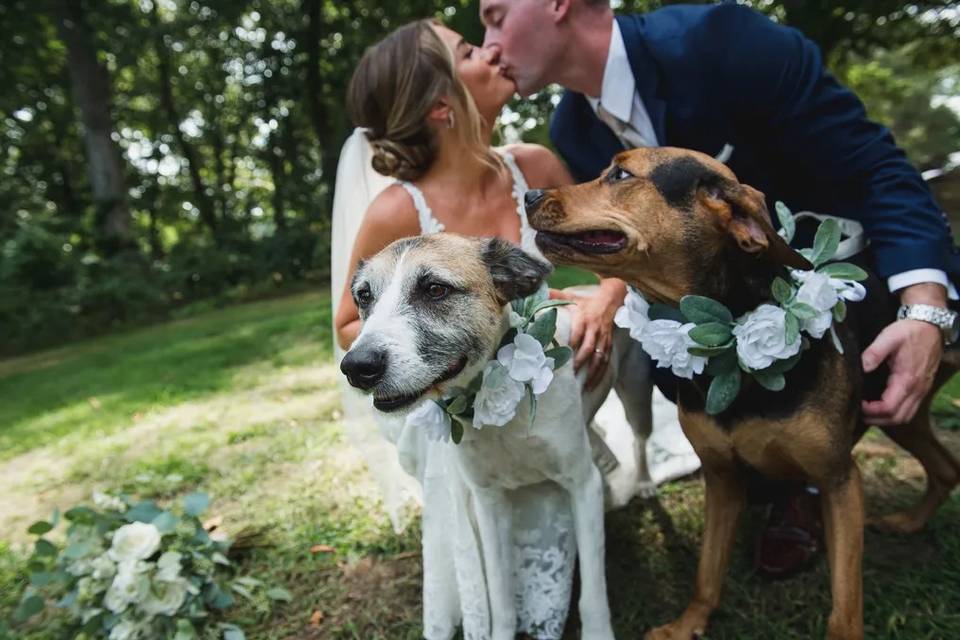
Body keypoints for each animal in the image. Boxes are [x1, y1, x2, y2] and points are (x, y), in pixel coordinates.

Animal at [342, 234, 632, 640]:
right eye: (364, 296)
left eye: (435, 289)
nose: (356, 368)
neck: (501, 415)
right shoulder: (489, 501)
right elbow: (501, 595)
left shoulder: (582, 485)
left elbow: (592, 594)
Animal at [524, 145, 960, 640]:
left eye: (620, 174)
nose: (529, 195)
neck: (725, 341)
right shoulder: (722, 479)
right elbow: (708, 572)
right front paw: (687, 624)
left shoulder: (838, 481)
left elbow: (845, 606)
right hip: (899, 408)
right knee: (946, 468)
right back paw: (909, 522)